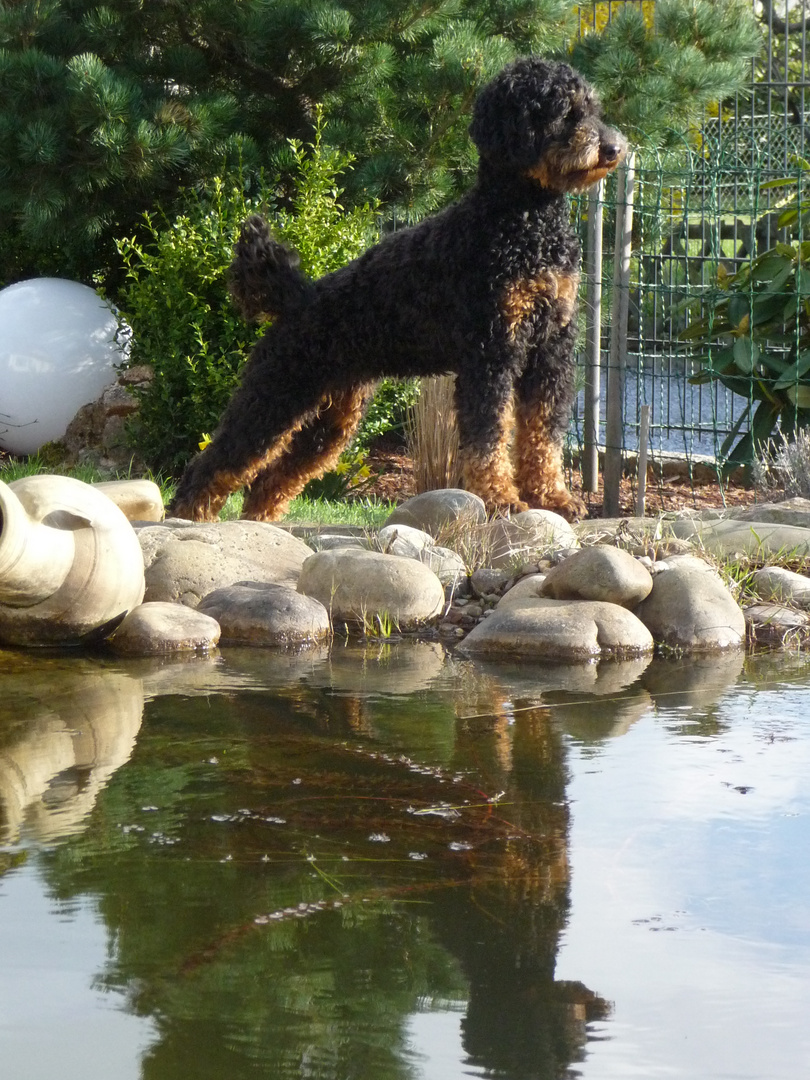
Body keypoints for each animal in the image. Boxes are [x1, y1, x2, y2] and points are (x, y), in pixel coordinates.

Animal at [169, 58, 626, 522]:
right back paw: (189, 519)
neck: (526, 222)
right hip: (276, 395)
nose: (614, 148)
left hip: (330, 420)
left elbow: (542, 432)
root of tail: (299, 297)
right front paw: (500, 498)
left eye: (592, 109)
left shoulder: (551, 349)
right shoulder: (491, 353)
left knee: (270, 480)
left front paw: (552, 497)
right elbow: (489, 434)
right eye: (563, 112)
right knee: (214, 463)